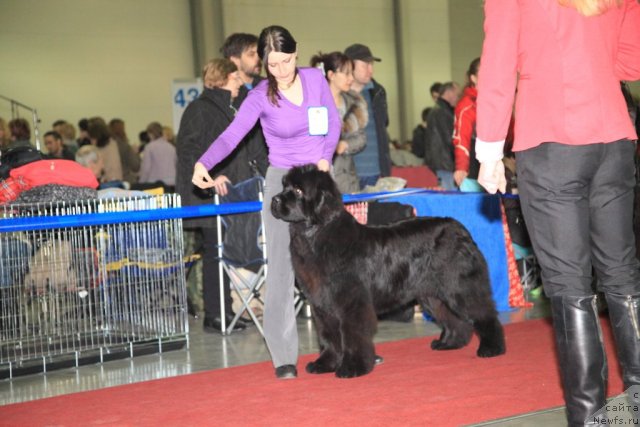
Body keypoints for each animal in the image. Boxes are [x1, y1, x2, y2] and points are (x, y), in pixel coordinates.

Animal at [270, 166, 504, 380]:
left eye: (298, 190)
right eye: (284, 186)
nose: (274, 199)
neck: (316, 234)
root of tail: (459, 229)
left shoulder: (352, 302)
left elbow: (352, 335)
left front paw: (352, 367)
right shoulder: (322, 305)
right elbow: (328, 337)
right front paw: (325, 364)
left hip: (459, 286)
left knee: (483, 313)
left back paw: (492, 348)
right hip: (432, 293)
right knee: (453, 318)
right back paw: (449, 343)